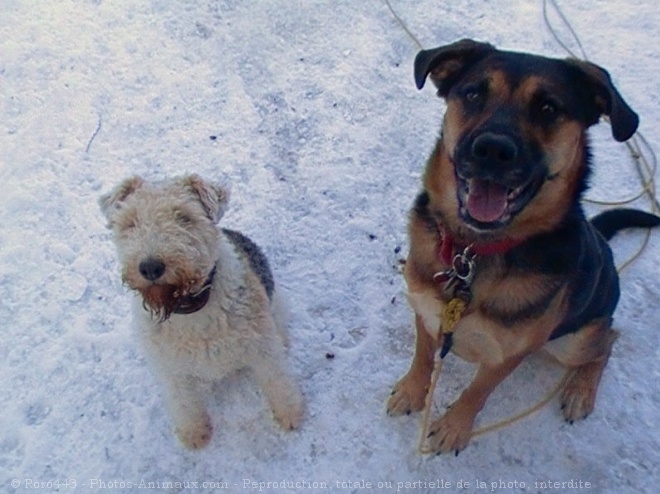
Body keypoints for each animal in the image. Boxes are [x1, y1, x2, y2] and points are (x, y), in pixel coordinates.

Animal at [386, 39, 660, 456]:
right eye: (474, 94)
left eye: (548, 108)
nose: (492, 150)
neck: (474, 252)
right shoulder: (426, 310)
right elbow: (422, 356)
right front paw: (412, 391)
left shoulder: (508, 354)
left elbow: (477, 393)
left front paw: (453, 427)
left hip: (572, 341)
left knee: (607, 341)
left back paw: (580, 391)